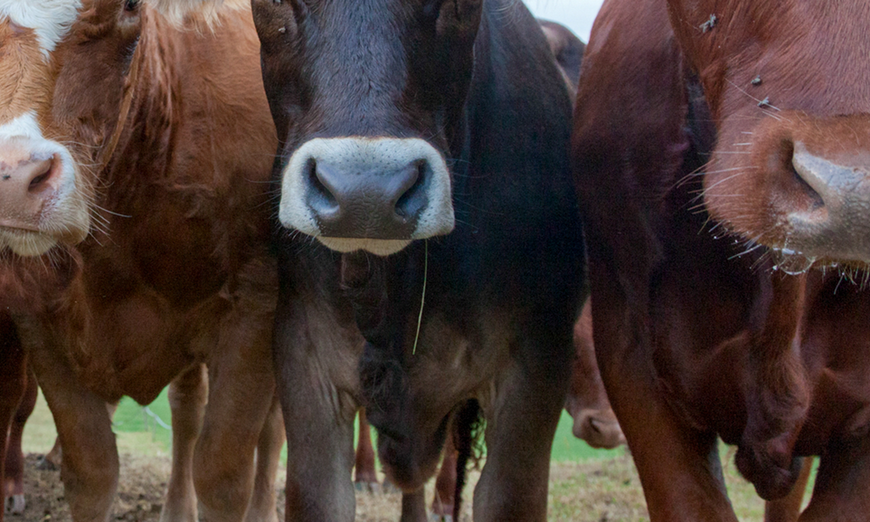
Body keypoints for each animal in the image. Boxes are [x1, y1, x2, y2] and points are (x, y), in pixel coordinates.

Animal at [0, 2, 282, 516]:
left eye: (129, 7)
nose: (12, 178)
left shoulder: (257, 306)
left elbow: (223, 476)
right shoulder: (38, 316)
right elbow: (91, 473)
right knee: (187, 409)